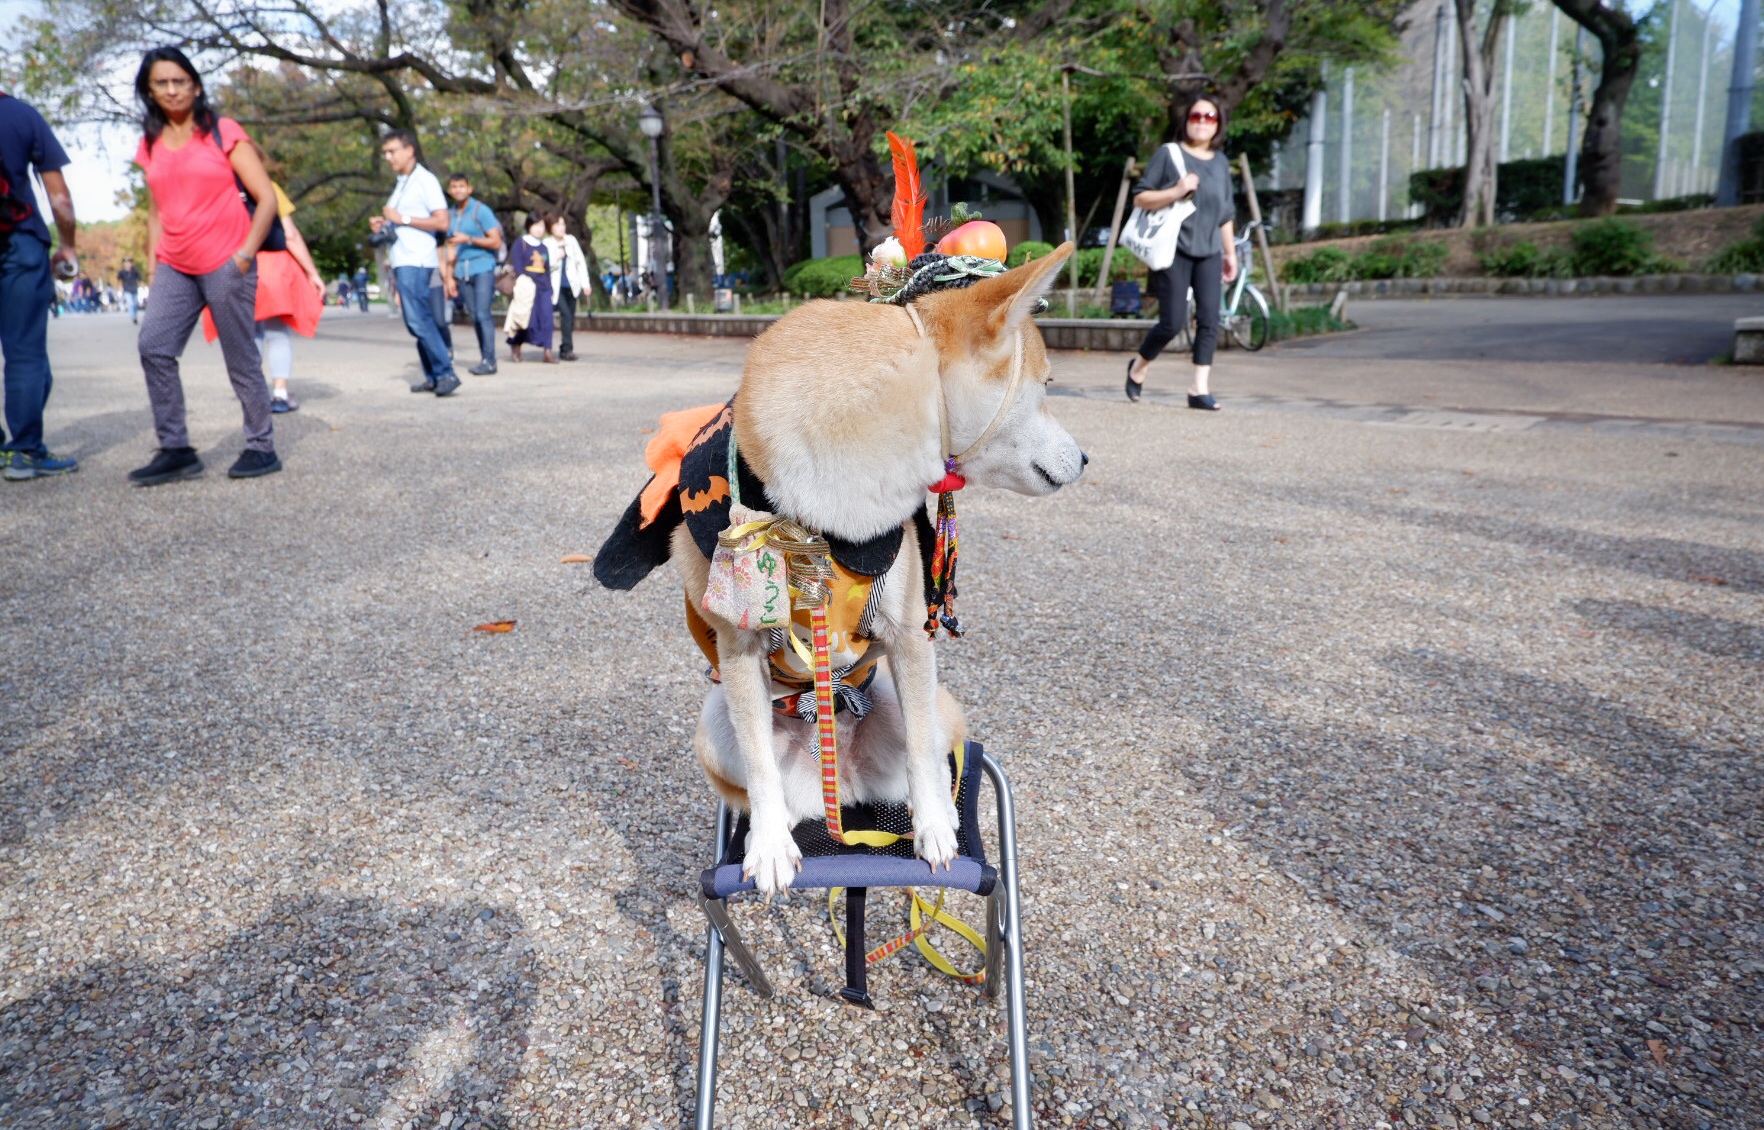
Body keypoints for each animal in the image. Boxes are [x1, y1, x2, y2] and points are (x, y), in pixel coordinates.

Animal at [599, 243, 1079, 895]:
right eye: (1048, 384)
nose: (1086, 459)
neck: (823, 514)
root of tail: (846, 787)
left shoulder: (910, 635)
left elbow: (924, 756)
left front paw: (934, 830)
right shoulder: (740, 646)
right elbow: (758, 765)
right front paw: (769, 848)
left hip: (926, 704)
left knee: (931, 757)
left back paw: (937, 810)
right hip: (714, 724)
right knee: (758, 784)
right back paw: (772, 826)